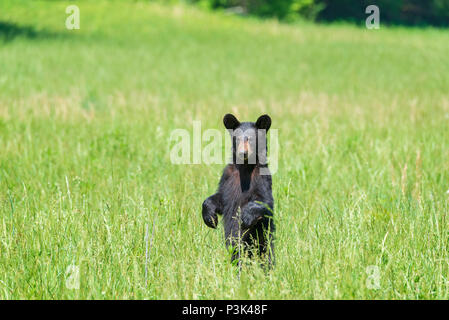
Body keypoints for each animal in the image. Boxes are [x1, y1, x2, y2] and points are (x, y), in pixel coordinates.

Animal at [202, 113, 272, 268]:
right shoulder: (228, 177)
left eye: (251, 139)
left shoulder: (262, 178)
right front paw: (210, 219)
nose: (243, 153)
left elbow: (265, 201)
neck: (245, 168)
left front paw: (246, 216)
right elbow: (220, 199)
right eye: (237, 139)